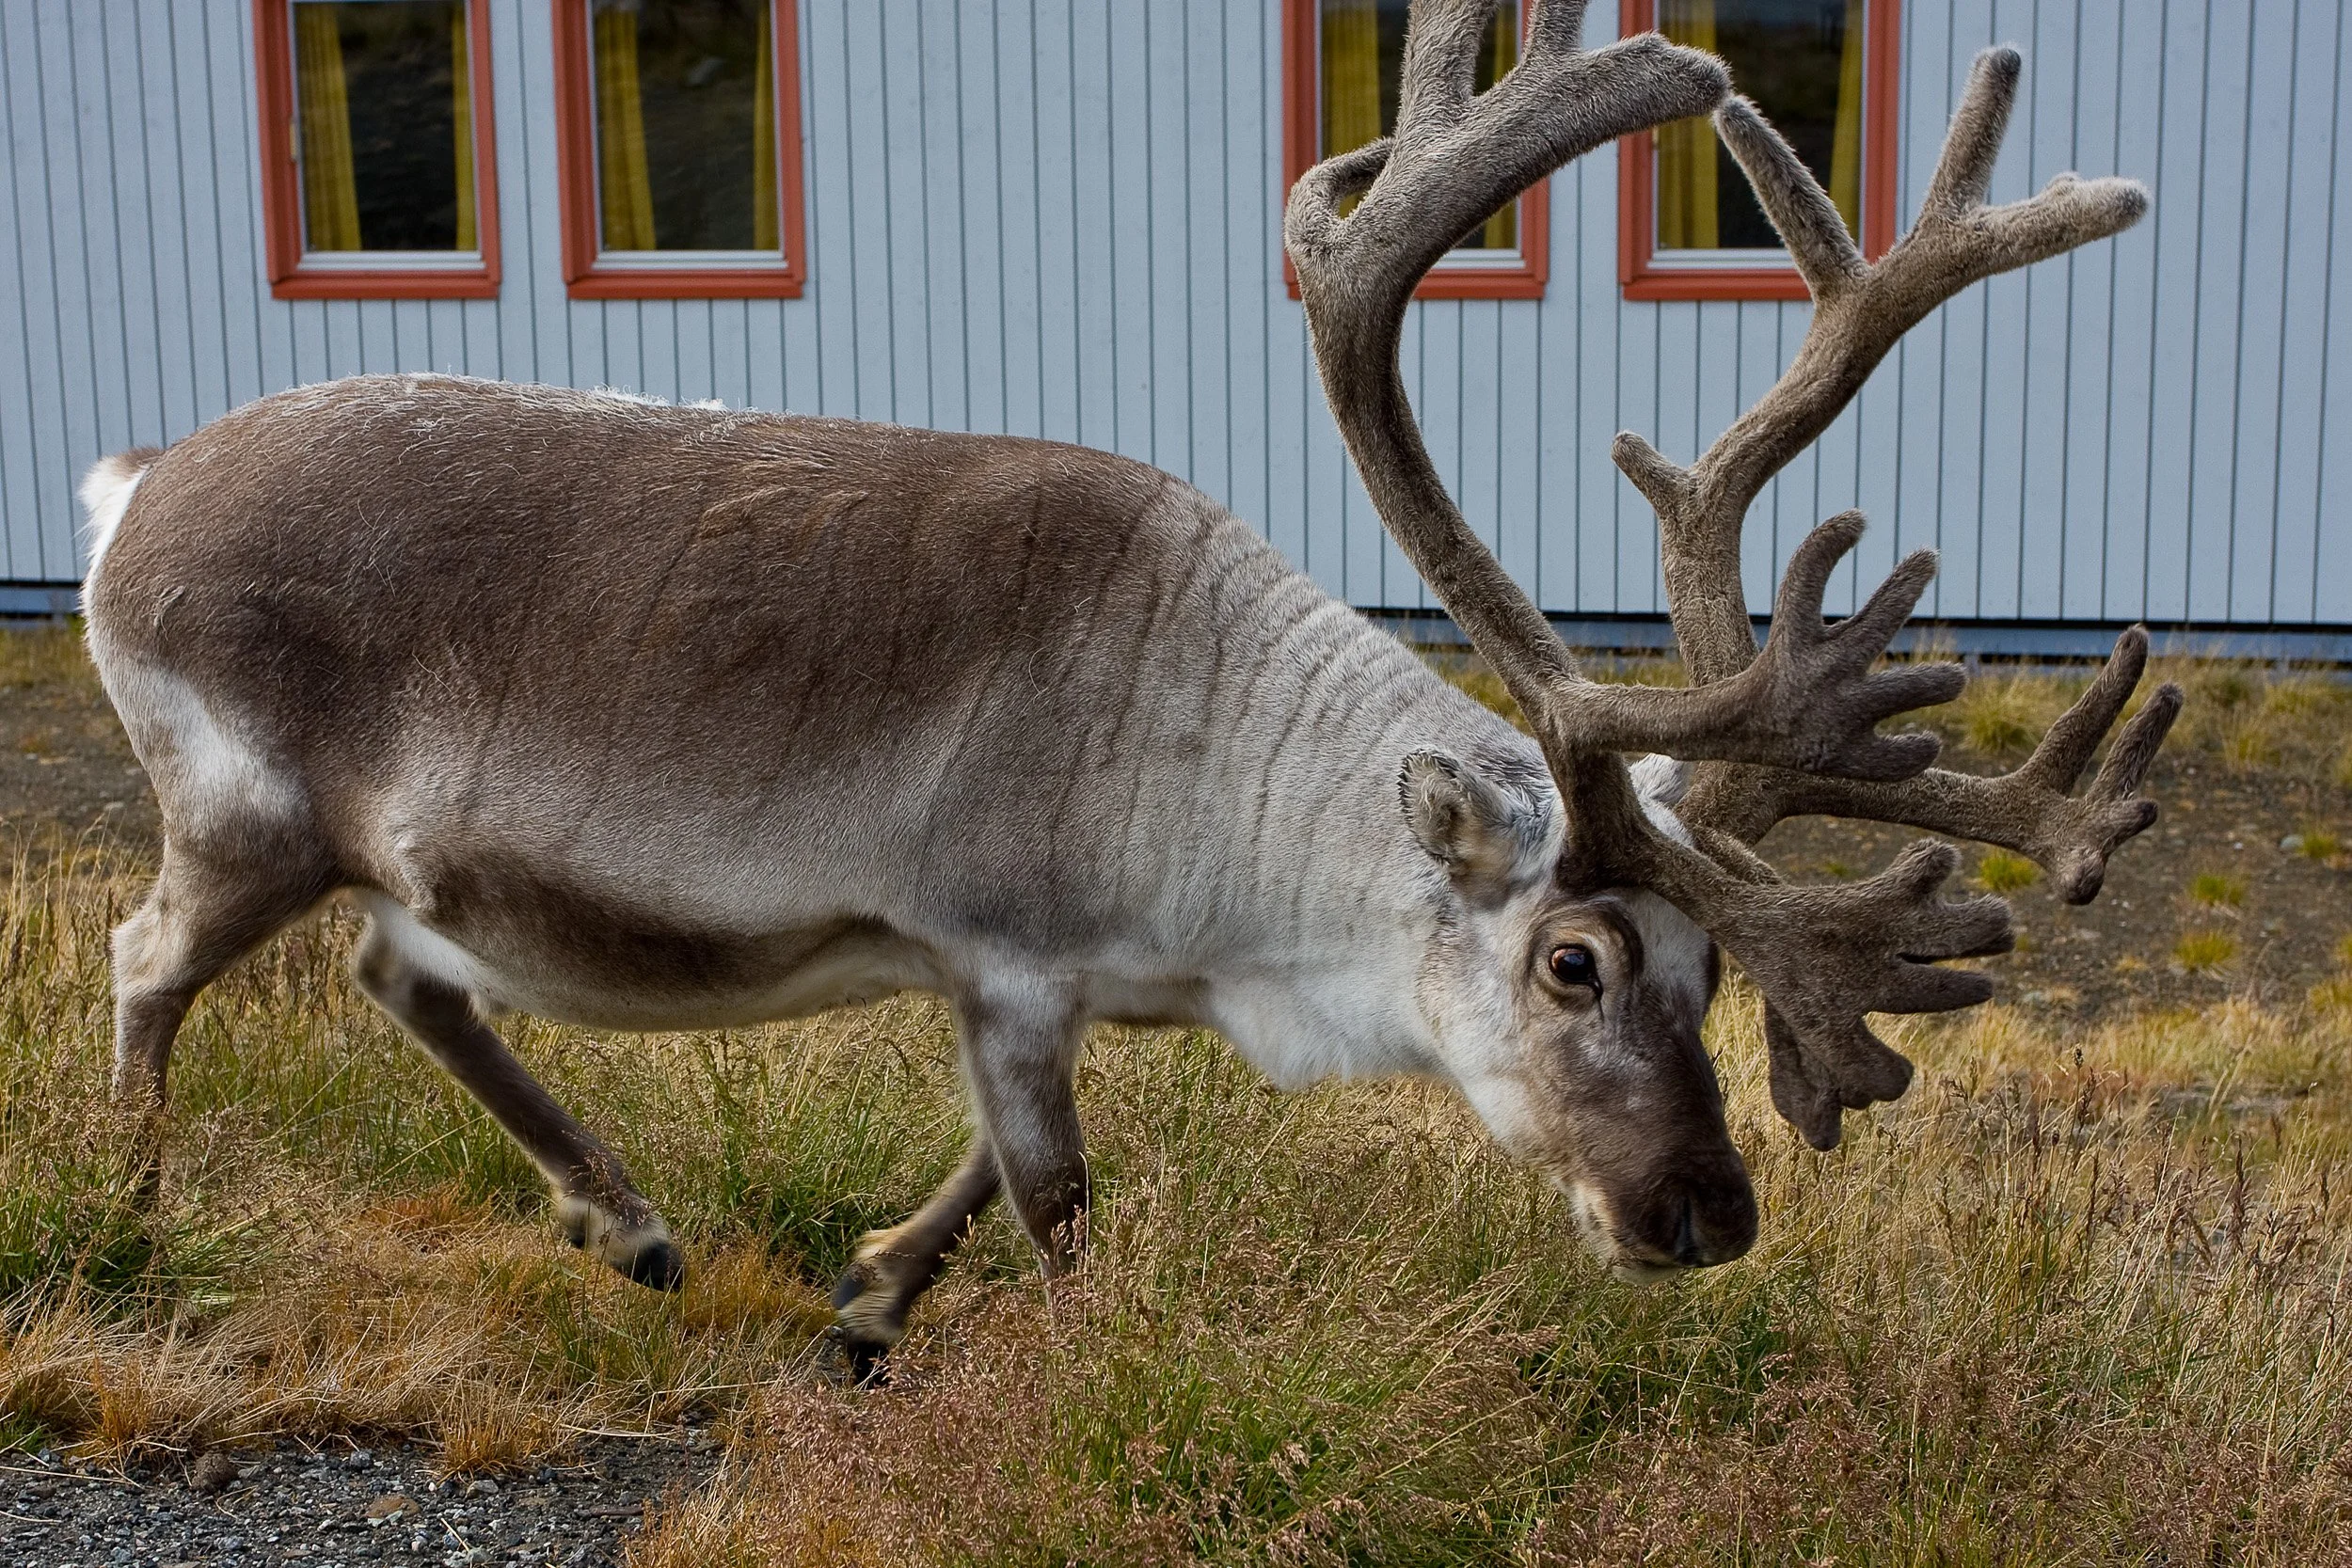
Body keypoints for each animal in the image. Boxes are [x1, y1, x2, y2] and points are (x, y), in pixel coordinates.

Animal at [79, 0, 2172, 1378]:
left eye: (1719, 965)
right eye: (1573, 959)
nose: (1706, 1214)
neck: (1230, 880)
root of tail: (128, 491)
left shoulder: (1058, 982)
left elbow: (969, 1172)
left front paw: (864, 1289)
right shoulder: (1001, 951)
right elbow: (1059, 1199)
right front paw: (1052, 1361)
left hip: (399, 862)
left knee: (393, 968)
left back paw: (632, 1218)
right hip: (244, 809)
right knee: (146, 960)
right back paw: (130, 1212)